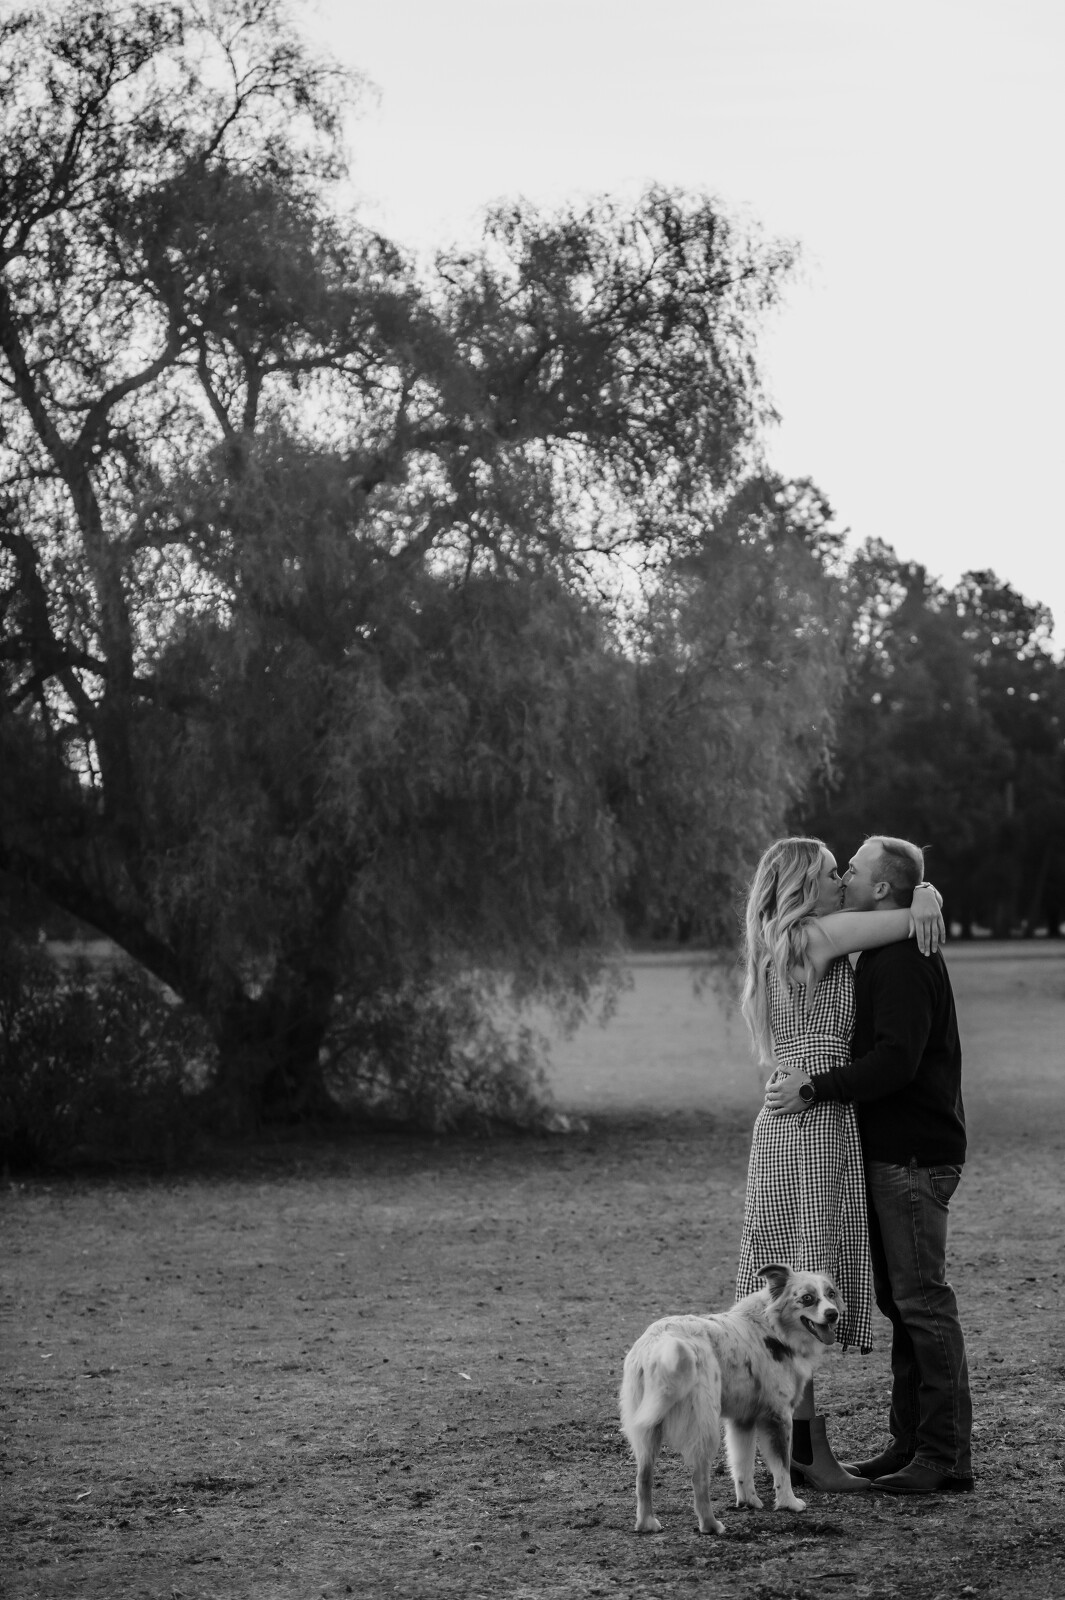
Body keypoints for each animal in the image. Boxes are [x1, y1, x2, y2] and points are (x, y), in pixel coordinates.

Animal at [618, 1264, 844, 1534]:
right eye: (807, 1298)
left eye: (831, 1294)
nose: (832, 1314)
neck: (772, 1327)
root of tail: (660, 1342)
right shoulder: (778, 1416)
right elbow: (782, 1467)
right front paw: (789, 1503)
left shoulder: (742, 1420)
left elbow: (742, 1463)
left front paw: (748, 1501)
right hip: (704, 1426)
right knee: (699, 1480)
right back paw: (711, 1525)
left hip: (647, 1427)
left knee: (643, 1477)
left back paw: (646, 1524)